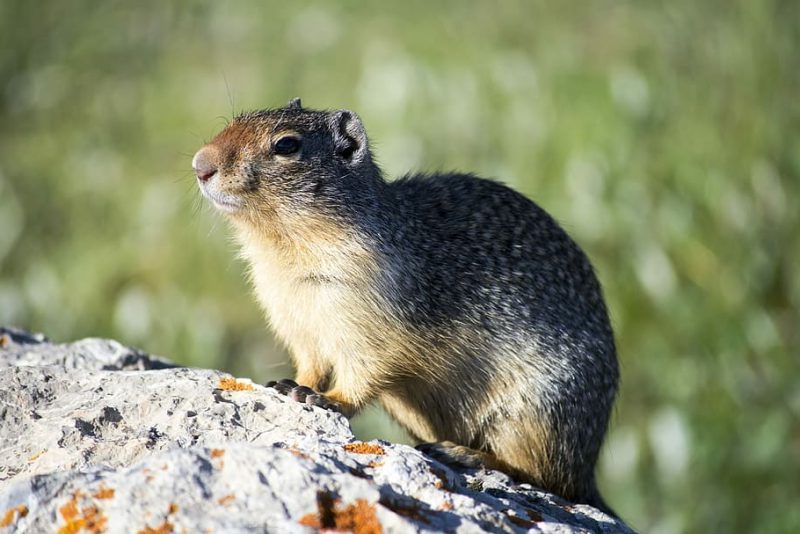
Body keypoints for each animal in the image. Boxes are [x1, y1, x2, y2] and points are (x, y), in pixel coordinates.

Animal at [192, 98, 619, 514]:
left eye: (286, 145)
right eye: (239, 118)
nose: (200, 164)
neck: (285, 250)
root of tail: (589, 473)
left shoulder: (377, 326)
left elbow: (364, 373)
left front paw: (326, 398)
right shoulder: (298, 324)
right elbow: (311, 364)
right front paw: (291, 384)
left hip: (536, 412)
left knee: (545, 476)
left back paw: (462, 453)